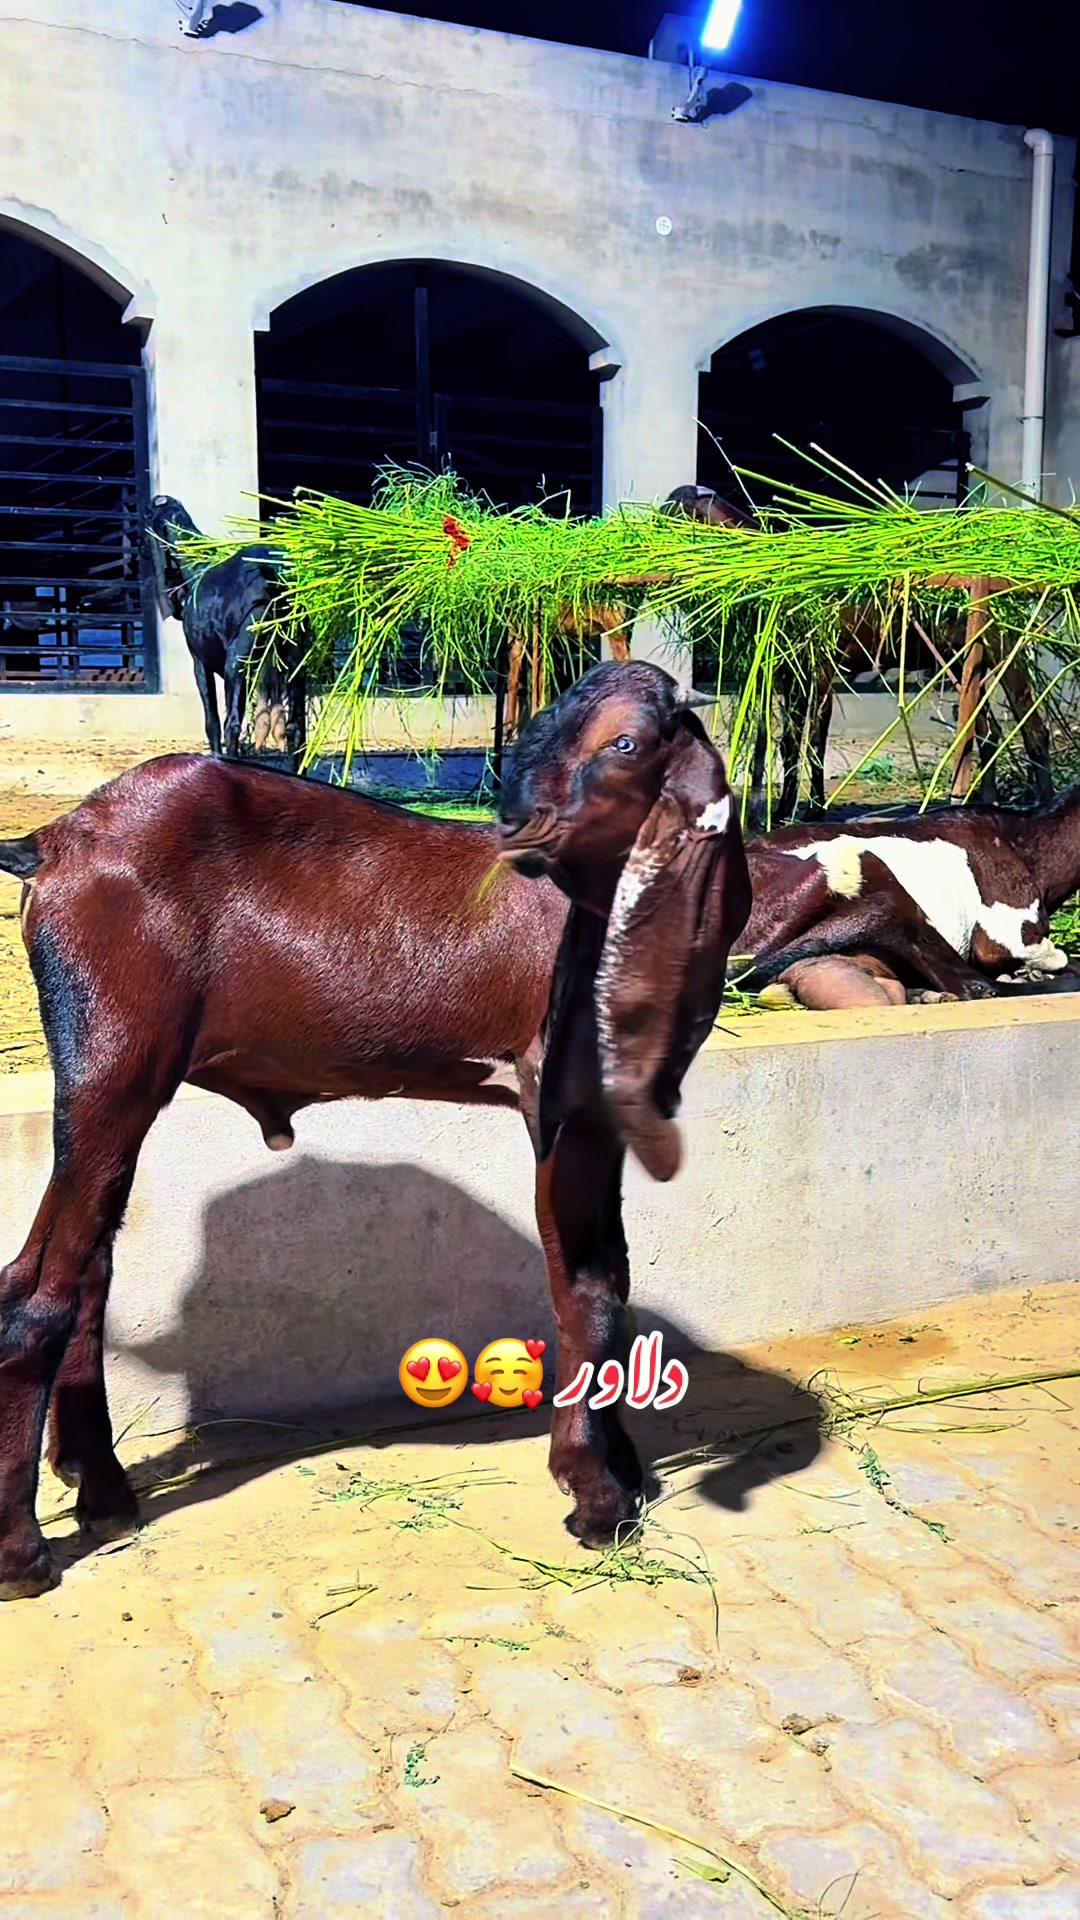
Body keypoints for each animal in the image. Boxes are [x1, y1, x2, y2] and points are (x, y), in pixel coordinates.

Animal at [0, 763, 570, 1599]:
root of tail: (57, 839)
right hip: (113, 1068)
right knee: (39, 1296)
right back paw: (24, 1553)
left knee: (83, 1269)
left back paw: (100, 1489)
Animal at [146, 496, 306, 765]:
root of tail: (273, 577)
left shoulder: (199, 662)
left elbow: (212, 722)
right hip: (295, 659)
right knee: (296, 728)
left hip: (239, 661)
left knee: (232, 724)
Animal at [498, 661, 751, 1545]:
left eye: (627, 744)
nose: (514, 822)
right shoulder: (556, 1119)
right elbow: (585, 1289)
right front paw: (596, 1487)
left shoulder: (603, 1128)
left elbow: (611, 1280)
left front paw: (616, 1470)